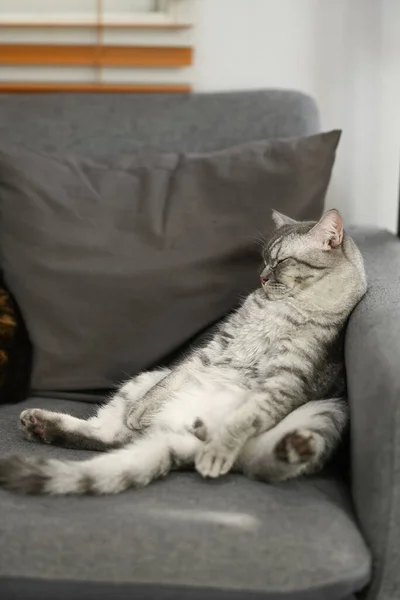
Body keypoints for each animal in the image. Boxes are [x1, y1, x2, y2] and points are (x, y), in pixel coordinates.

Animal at [0, 209, 366, 494]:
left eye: (281, 262)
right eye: (264, 261)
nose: (261, 278)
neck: (282, 309)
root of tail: (173, 439)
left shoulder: (288, 380)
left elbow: (246, 417)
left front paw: (222, 442)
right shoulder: (215, 347)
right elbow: (173, 380)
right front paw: (140, 410)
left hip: (327, 412)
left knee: (263, 463)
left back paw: (277, 445)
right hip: (143, 379)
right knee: (111, 435)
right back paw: (41, 424)